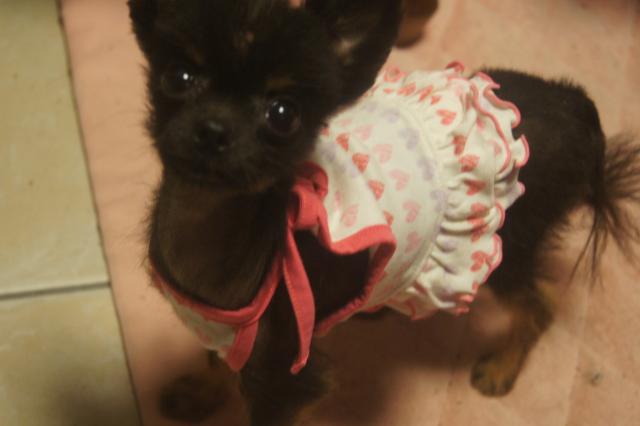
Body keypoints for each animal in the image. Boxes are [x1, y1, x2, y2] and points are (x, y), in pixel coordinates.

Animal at [128, 1, 640, 425]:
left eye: (283, 114)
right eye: (177, 78)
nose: (213, 129)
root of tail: (578, 109)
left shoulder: (285, 376)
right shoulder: (220, 334)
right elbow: (213, 358)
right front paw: (200, 393)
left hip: (508, 248)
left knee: (541, 302)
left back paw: (501, 367)